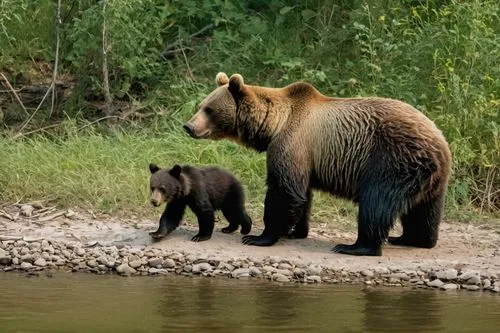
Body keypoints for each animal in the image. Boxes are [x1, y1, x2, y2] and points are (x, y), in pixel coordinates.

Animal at [184, 71, 454, 255]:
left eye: (209, 109)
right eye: (201, 105)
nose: (188, 126)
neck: (274, 125)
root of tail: (440, 143)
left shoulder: (293, 143)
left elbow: (284, 191)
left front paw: (261, 236)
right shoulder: (305, 157)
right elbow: (302, 194)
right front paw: (295, 231)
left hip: (392, 159)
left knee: (376, 203)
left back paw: (355, 246)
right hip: (430, 177)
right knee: (424, 210)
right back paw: (413, 239)